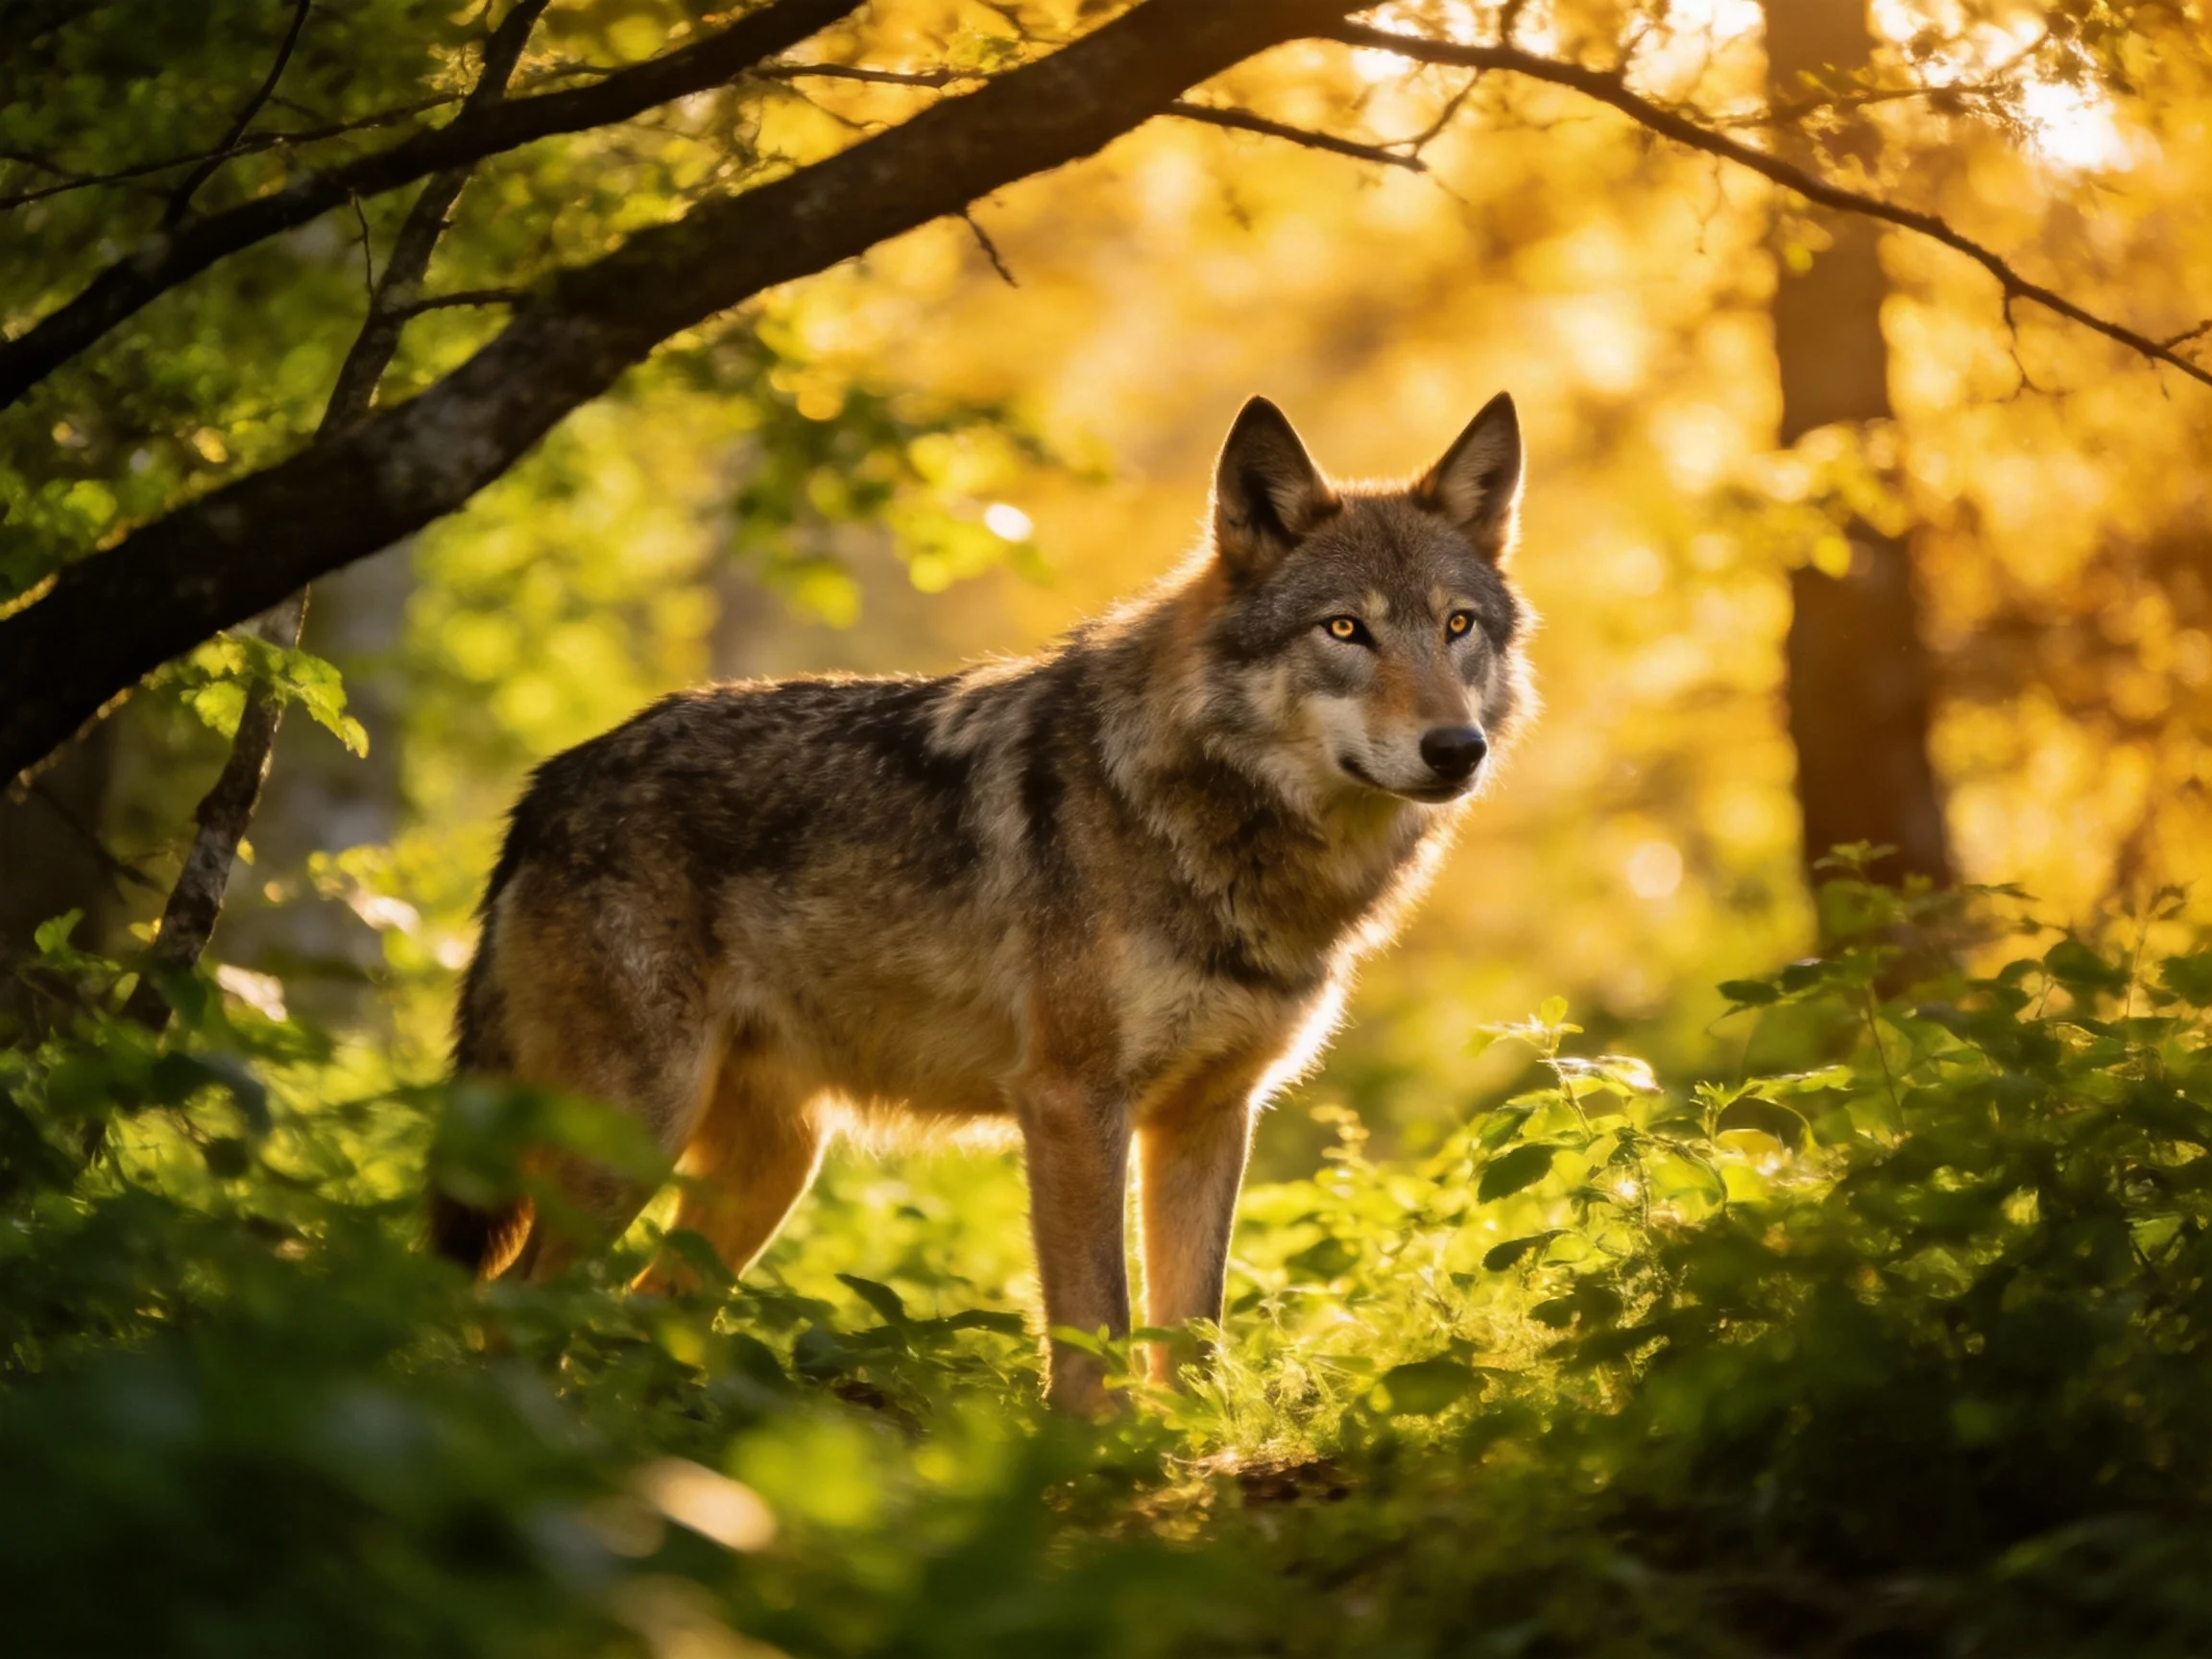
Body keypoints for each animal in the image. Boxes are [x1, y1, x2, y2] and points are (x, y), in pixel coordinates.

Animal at [430, 393, 1534, 1411]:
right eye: (1345, 628)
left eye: (1457, 626)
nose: (1457, 749)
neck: (1224, 826)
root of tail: (550, 783)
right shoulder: (1070, 1104)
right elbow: (1096, 1327)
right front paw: (1095, 1462)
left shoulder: (1210, 1117)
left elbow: (1193, 1332)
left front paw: (1187, 1449)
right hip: (634, 1136)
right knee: (512, 1306)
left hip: (770, 1168)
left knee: (640, 1313)